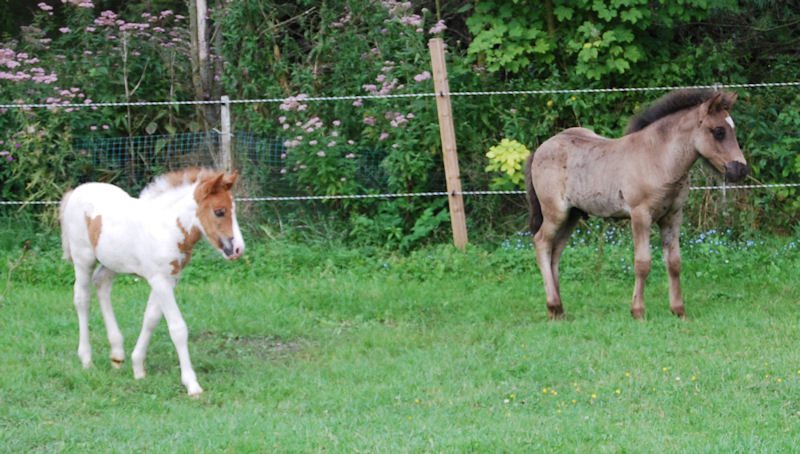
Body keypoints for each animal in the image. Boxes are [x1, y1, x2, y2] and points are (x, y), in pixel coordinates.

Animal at [60, 168, 244, 396]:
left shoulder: (169, 278)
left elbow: (151, 318)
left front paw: (138, 367)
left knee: (101, 284)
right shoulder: (160, 280)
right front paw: (192, 384)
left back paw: (117, 355)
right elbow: (177, 328)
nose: (238, 249)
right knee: (82, 299)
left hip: (113, 261)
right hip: (83, 259)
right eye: (219, 211)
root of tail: (76, 191)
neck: (167, 228)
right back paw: (86, 359)